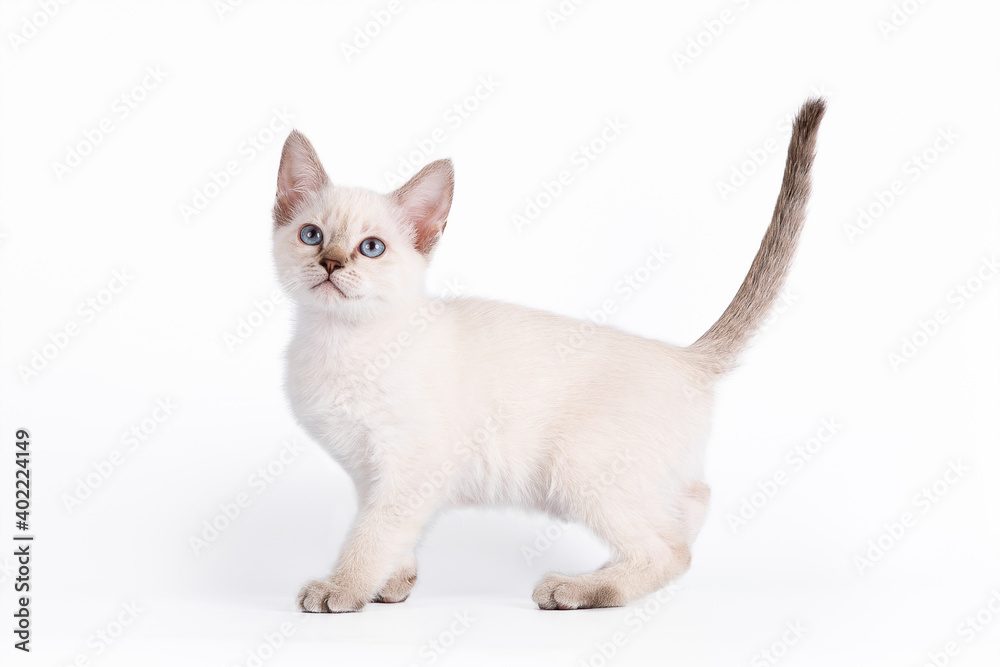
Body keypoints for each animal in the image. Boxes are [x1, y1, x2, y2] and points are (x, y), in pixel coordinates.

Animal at [270, 98, 824, 612]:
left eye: (371, 248)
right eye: (312, 236)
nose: (331, 263)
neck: (339, 341)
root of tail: (688, 356)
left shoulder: (409, 466)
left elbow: (372, 535)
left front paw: (344, 589)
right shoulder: (369, 472)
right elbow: (388, 534)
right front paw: (393, 585)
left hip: (579, 466)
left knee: (669, 551)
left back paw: (578, 588)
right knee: (690, 506)